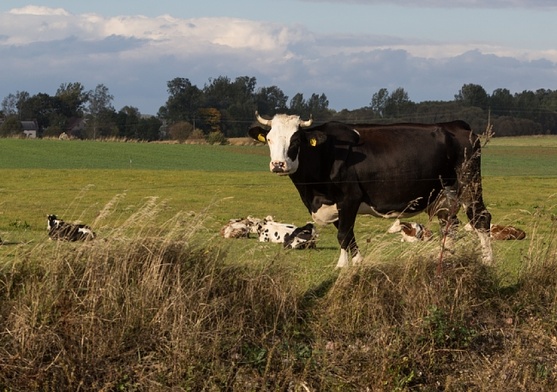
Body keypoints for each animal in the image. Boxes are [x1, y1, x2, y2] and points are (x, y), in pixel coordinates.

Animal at [248, 112, 490, 268]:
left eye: (296, 140)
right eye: (268, 139)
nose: (278, 164)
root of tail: (456, 125)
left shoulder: (349, 199)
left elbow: (343, 234)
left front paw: (344, 266)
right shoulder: (335, 206)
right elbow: (348, 236)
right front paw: (355, 263)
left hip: (469, 184)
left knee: (481, 218)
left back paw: (487, 261)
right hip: (441, 195)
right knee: (449, 223)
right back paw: (447, 258)